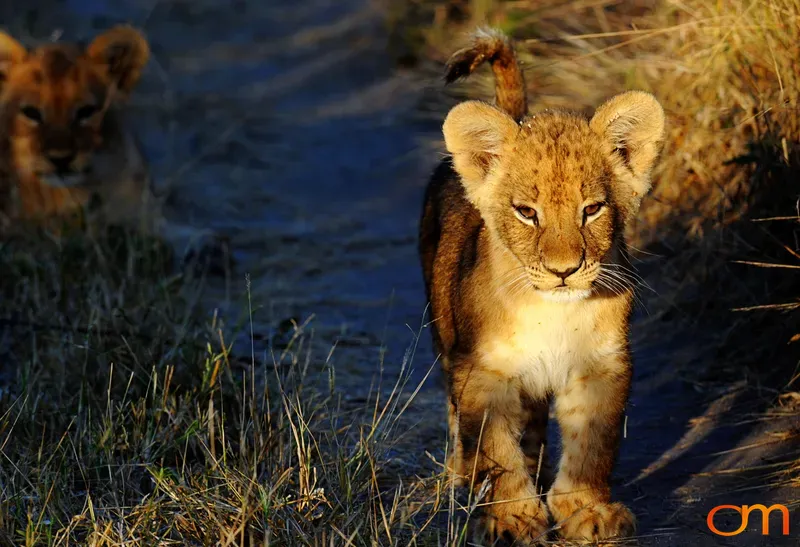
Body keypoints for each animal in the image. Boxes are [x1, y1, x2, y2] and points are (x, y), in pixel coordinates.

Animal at [419, 29, 665, 544]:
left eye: (591, 209)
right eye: (526, 213)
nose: (563, 270)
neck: (553, 310)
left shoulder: (601, 366)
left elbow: (593, 446)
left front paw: (586, 510)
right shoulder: (483, 372)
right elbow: (495, 449)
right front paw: (512, 517)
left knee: (531, 428)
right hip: (447, 338)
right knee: (459, 419)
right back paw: (462, 479)